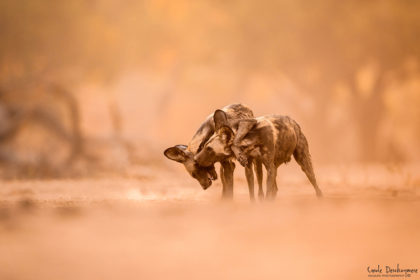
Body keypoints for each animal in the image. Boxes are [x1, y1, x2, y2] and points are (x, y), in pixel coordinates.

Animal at [195, 109, 324, 199]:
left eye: (209, 149)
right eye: (205, 146)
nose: (195, 159)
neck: (250, 139)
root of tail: (294, 122)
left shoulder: (270, 167)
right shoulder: (250, 169)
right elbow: (253, 194)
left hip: (303, 163)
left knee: (315, 185)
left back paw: (320, 198)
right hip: (261, 167)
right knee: (269, 190)